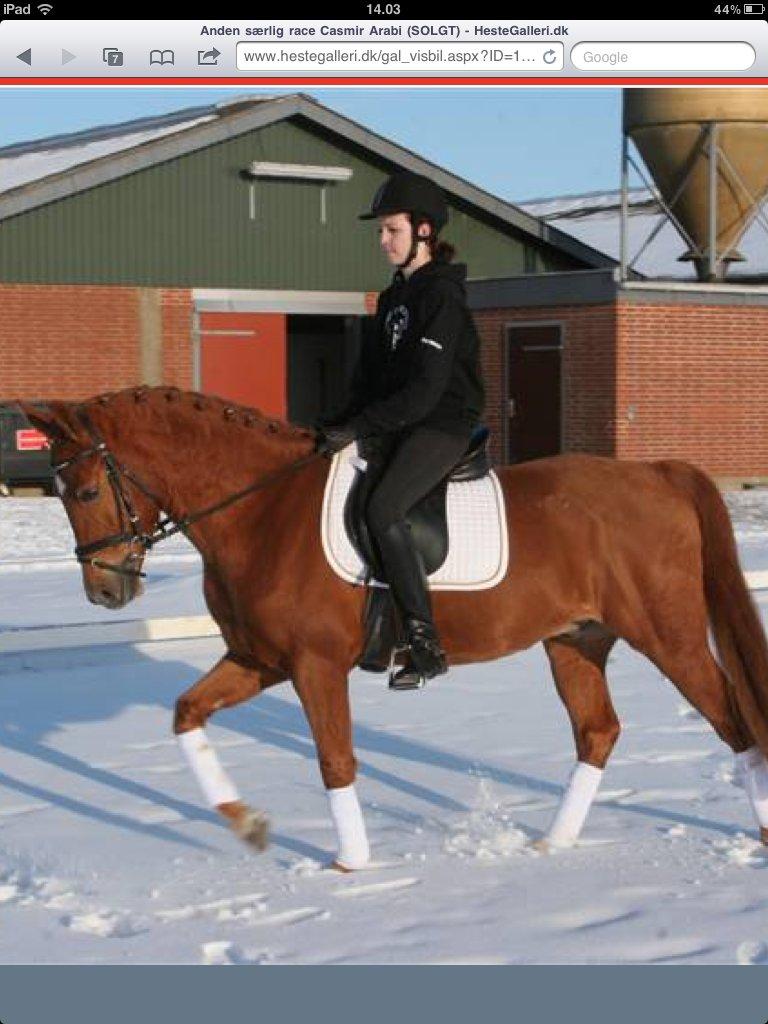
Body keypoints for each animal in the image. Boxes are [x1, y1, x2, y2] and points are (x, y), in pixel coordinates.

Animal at [18, 387, 768, 868]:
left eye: (86, 491)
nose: (105, 590)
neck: (262, 510)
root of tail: (658, 474)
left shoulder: (315, 665)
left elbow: (335, 759)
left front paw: (351, 868)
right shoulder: (259, 660)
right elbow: (185, 713)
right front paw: (252, 828)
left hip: (667, 635)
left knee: (733, 719)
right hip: (575, 640)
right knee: (599, 732)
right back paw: (551, 846)